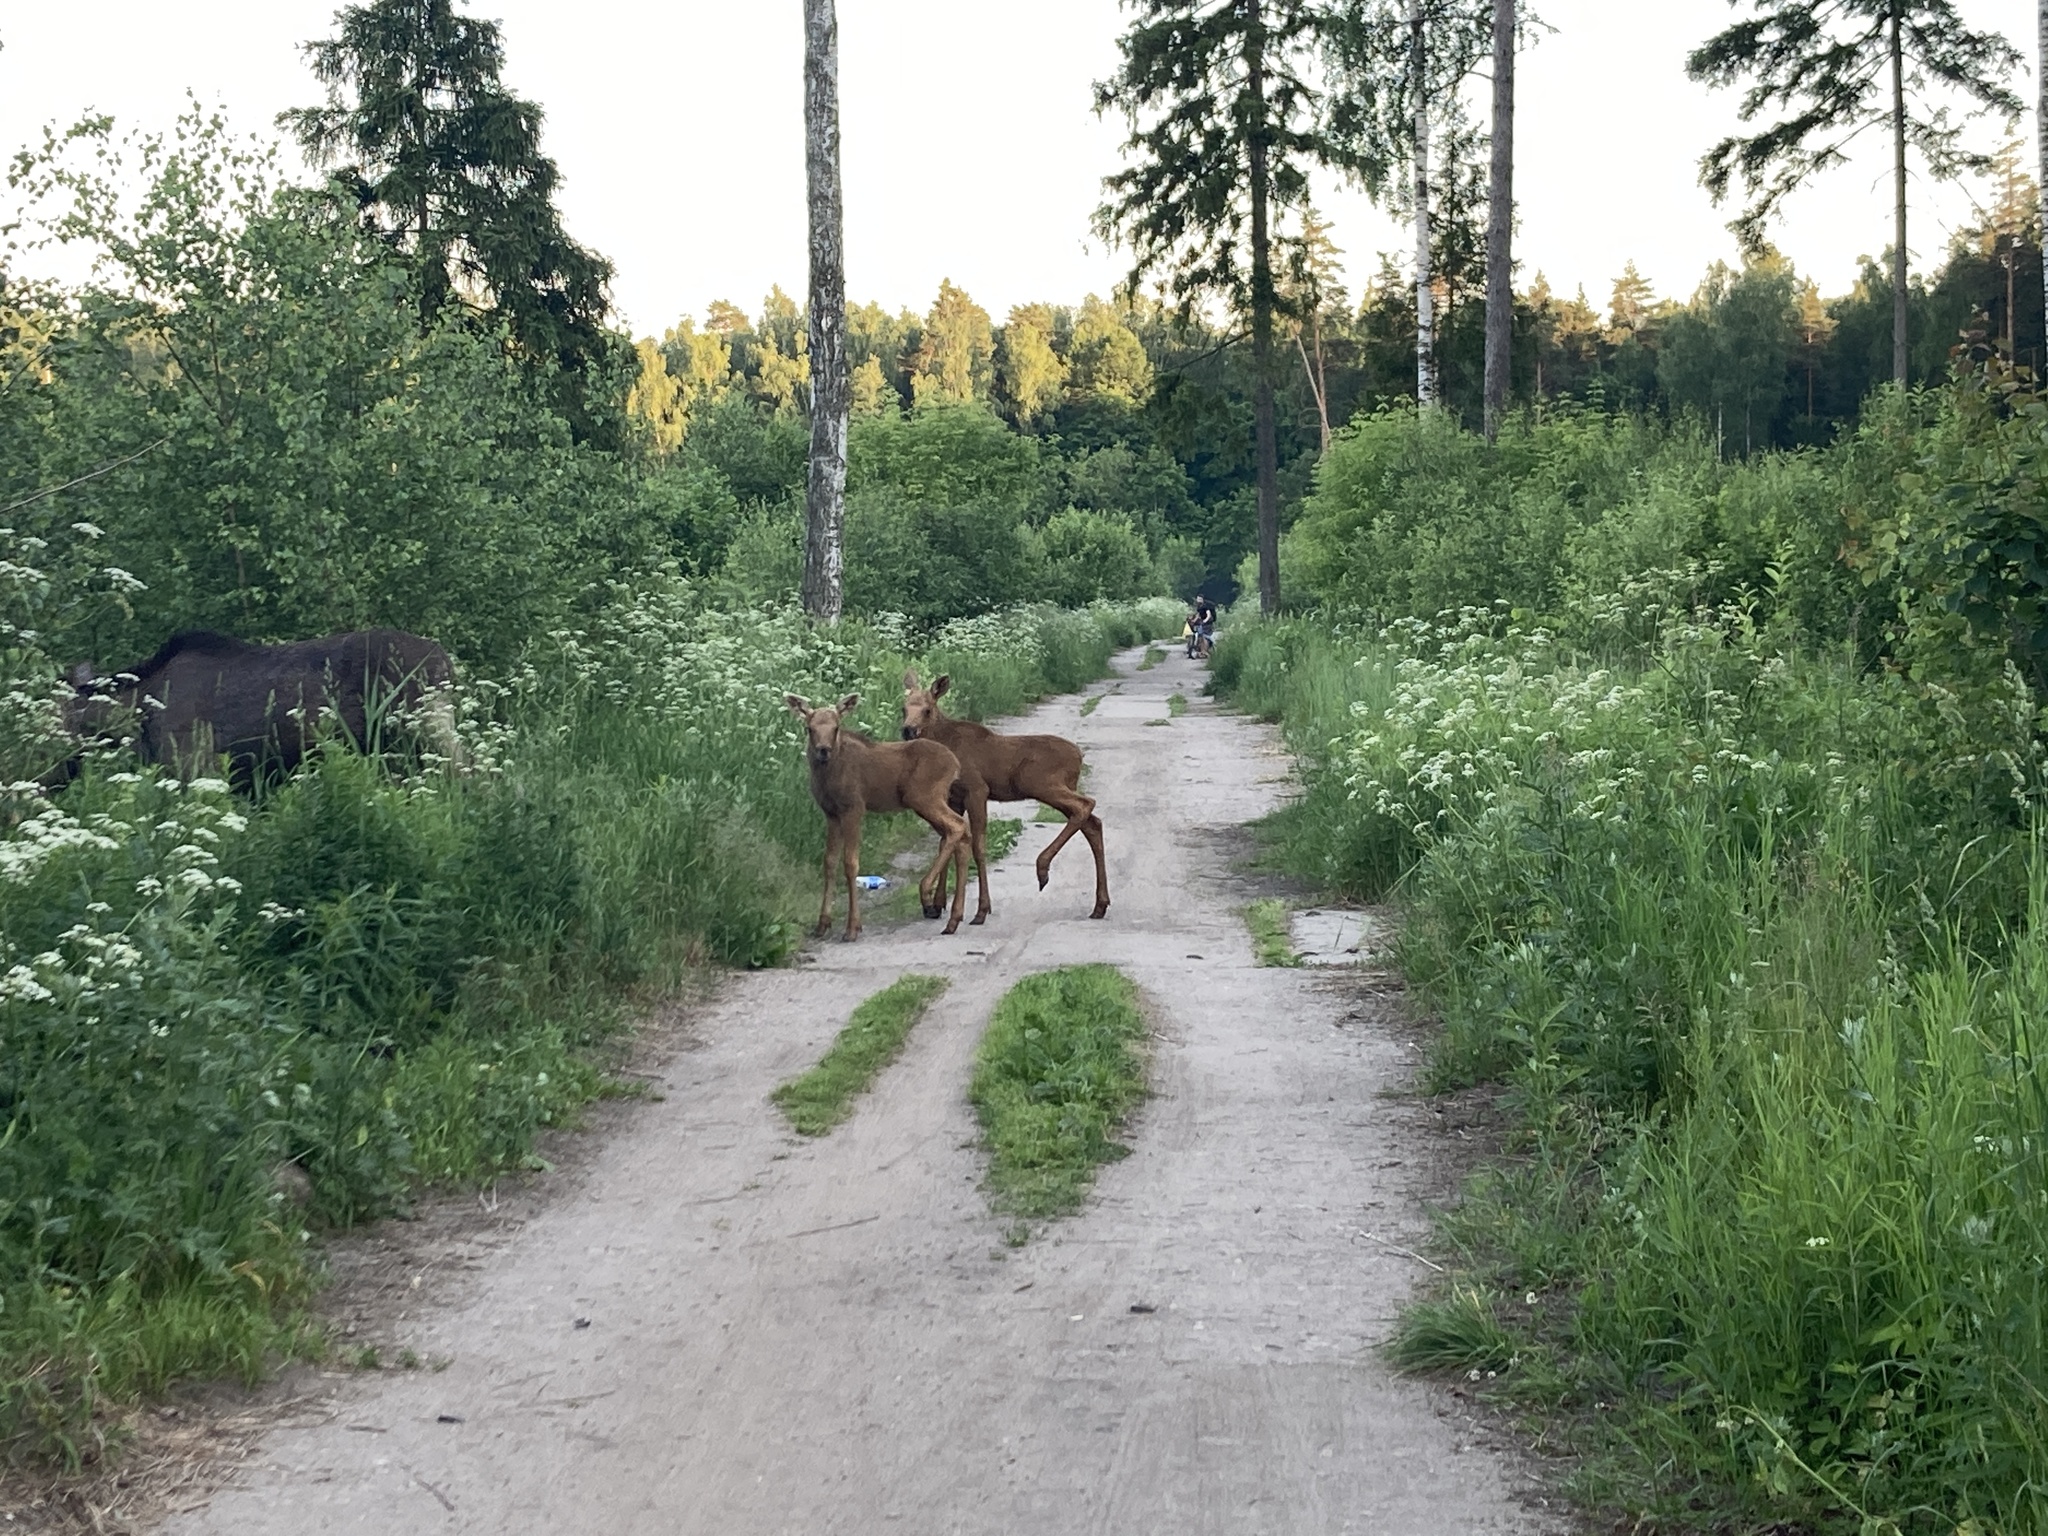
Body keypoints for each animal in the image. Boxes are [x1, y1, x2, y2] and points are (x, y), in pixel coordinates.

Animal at [786, 696, 970, 937]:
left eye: (836, 728)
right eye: (809, 728)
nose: (823, 750)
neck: (827, 776)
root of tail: (955, 764)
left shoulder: (854, 808)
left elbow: (850, 863)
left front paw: (852, 927)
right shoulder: (831, 813)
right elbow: (829, 862)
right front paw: (822, 923)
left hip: (923, 798)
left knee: (957, 826)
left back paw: (927, 895)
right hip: (930, 803)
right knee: (960, 836)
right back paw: (954, 918)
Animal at [905, 663, 1114, 925]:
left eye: (927, 709)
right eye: (904, 708)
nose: (908, 730)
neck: (945, 742)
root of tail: (1079, 756)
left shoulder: (977, 790)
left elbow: (978, 846)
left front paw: (981, 910)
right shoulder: (954, 798)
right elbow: (945, 842)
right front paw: (937, 904)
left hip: (1041, 783)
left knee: (1086, 805)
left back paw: (1043, 868)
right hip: (1059, 787)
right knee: (1092, 823)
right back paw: (1100, 904)